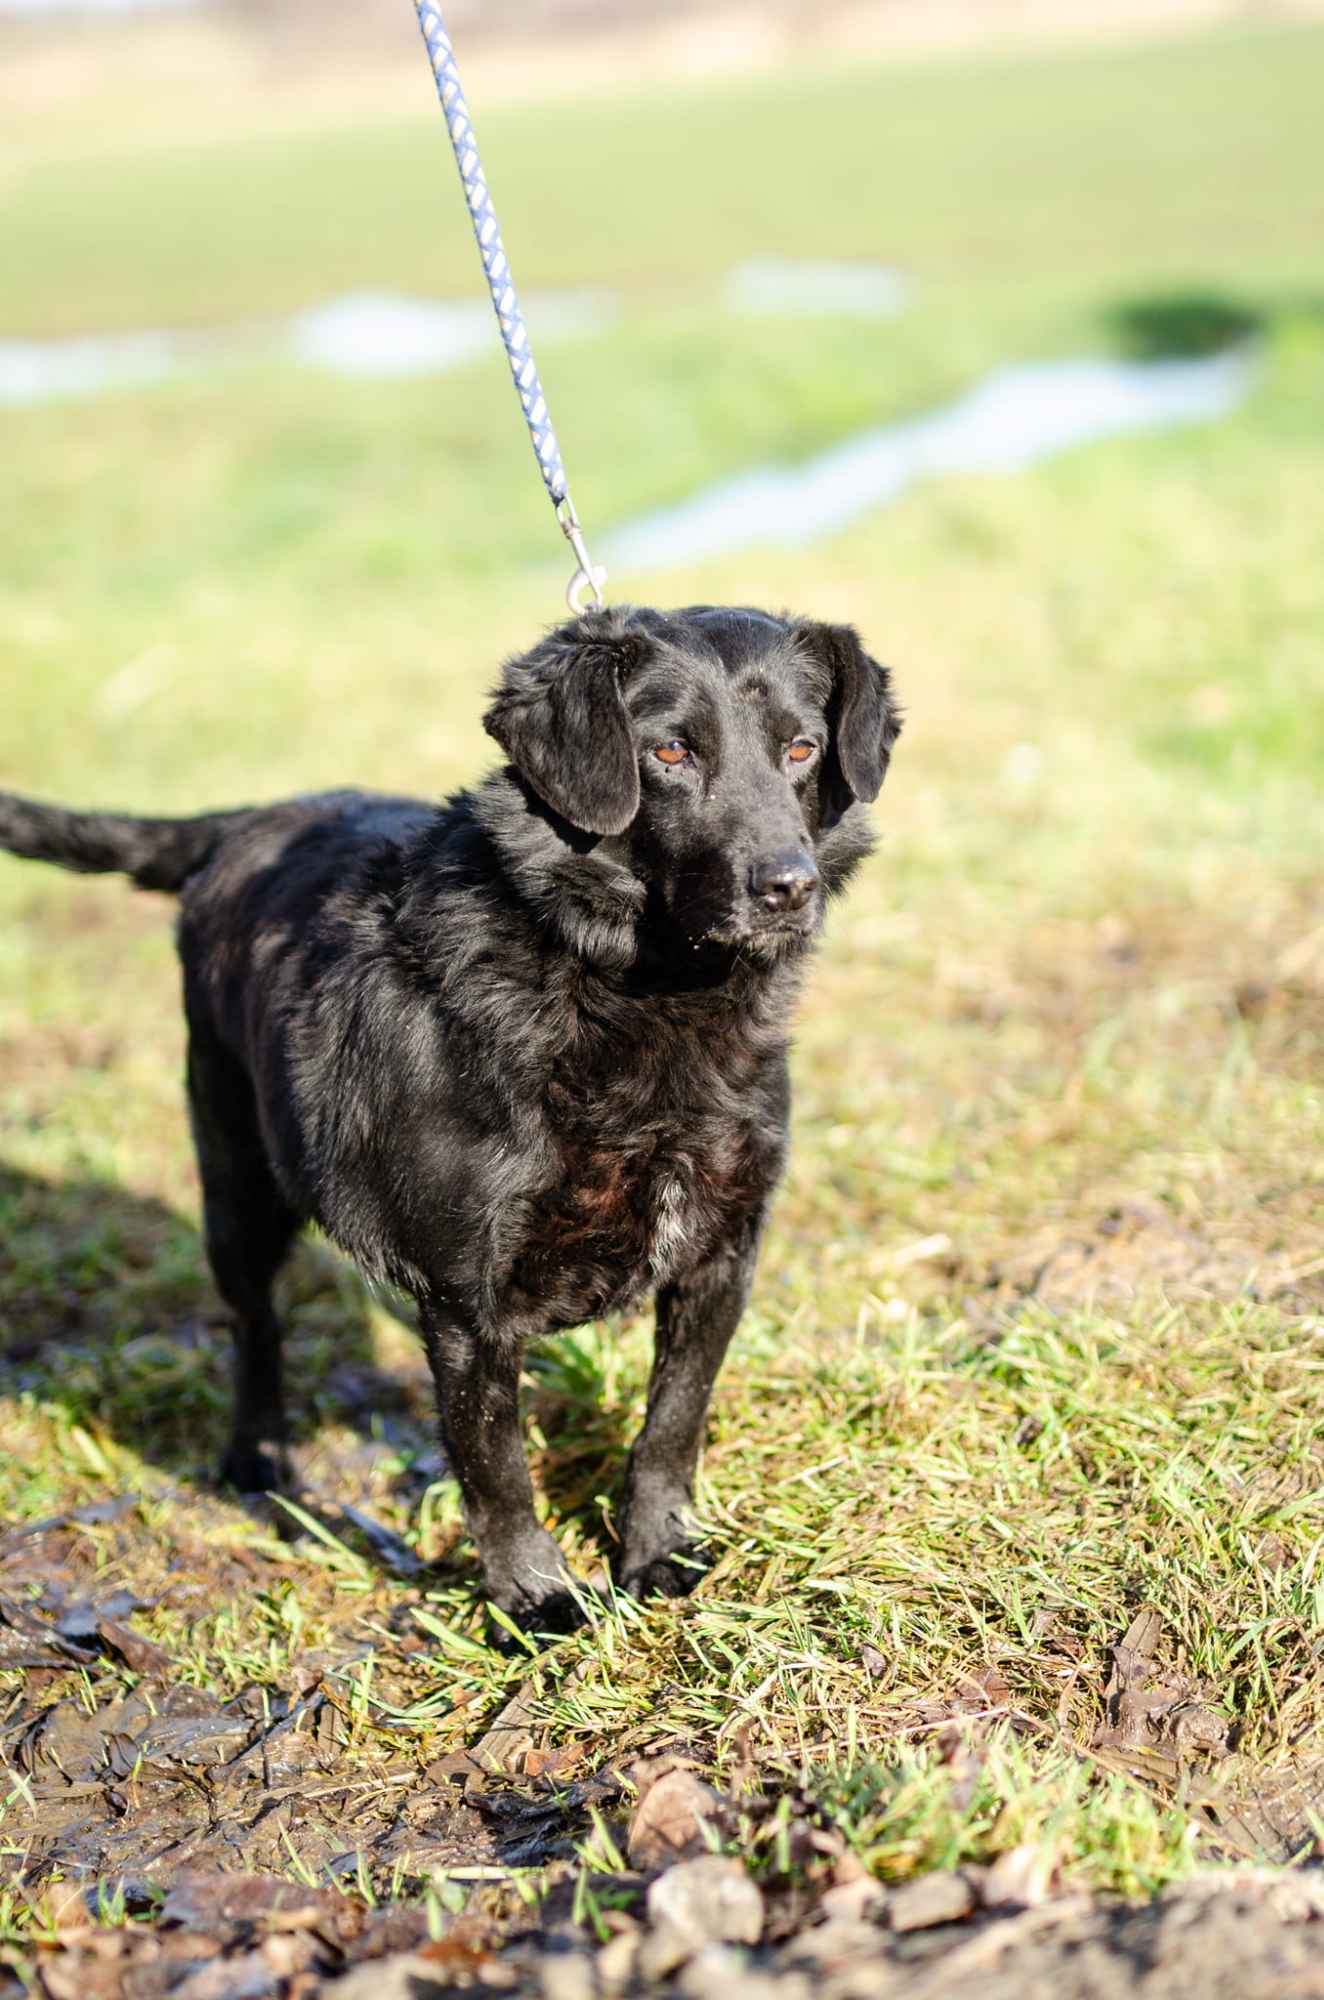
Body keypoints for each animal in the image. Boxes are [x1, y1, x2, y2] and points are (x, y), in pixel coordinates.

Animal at [0, 600, 904, 1632]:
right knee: (254, 1326)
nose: (787, 888)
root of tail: (248, 820)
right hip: (235, 1177)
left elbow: (673, 1421)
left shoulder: (721, 1249)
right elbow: (495, 1467)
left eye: (801, 747)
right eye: (670, 751)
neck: (631, 992)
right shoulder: (470, 1296)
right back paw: (259, 1463)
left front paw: (657, 1554)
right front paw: (533, 1601)